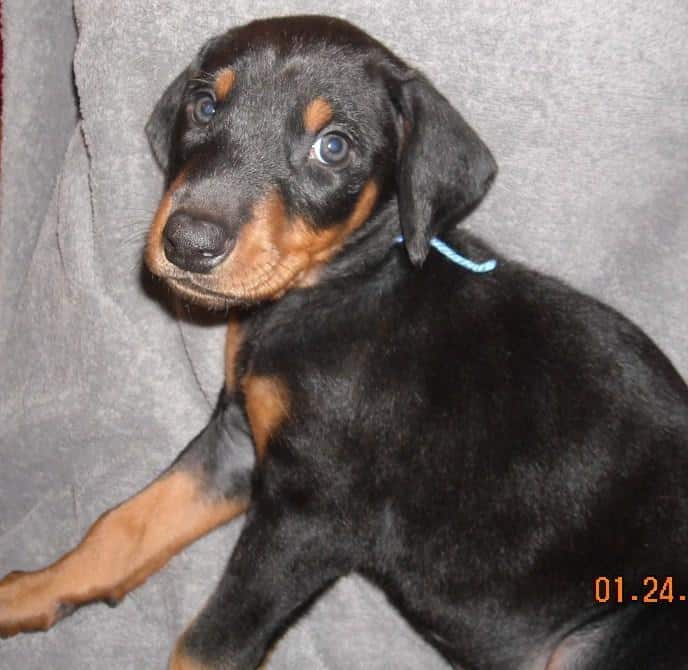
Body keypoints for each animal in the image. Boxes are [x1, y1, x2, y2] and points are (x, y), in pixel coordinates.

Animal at [1, 15, 688, 670]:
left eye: (333, 147)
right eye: (205, 107)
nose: (188, 243)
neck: (335, 291)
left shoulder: (312, 514)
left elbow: (210, 644)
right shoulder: (238, 437)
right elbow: (123, 525)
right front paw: (27, 592)